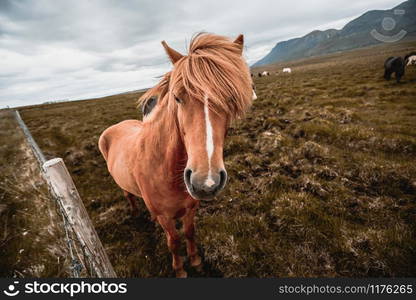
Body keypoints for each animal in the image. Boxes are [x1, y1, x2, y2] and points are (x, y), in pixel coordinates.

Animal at [99, 32, 255, 276]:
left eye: (231, 99)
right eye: (178, 97)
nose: (206, 182)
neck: (165, 168)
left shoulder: (191, 207)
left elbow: (190, 233)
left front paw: (196, 261)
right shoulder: (166, 217)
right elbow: (173, 241)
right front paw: (180, 270)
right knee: (128, 195)